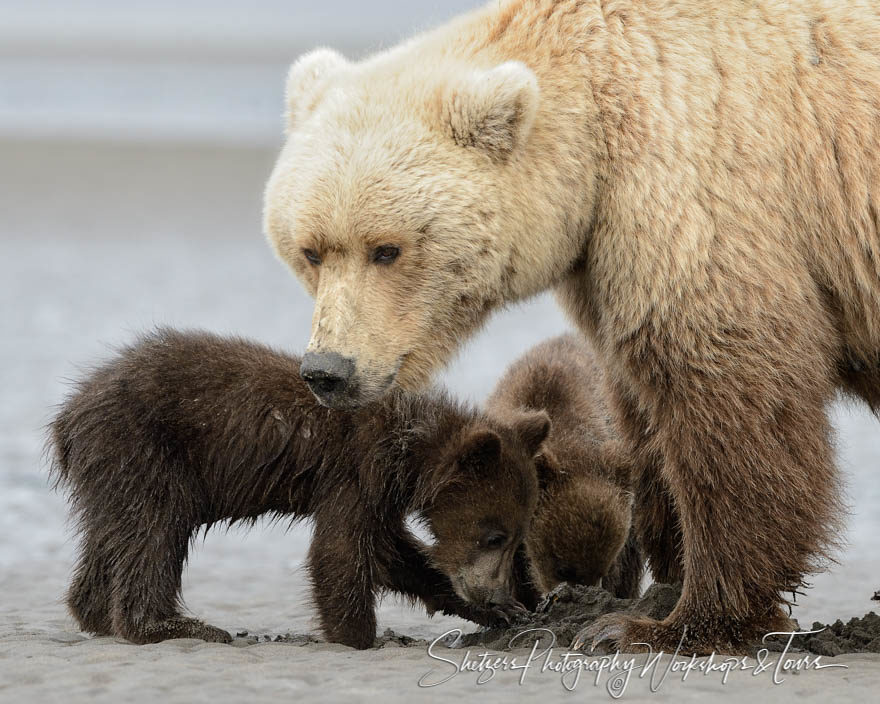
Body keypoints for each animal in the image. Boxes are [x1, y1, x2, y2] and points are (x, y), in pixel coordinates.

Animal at [262, 0, 880, 656]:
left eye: (386, 249)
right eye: (310, 250)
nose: (328, 370)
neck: (595, 139)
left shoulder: (703, 190)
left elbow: (731, 399)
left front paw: (672, 623)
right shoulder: (605, 263)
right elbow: (644, 414)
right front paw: (661, 584)